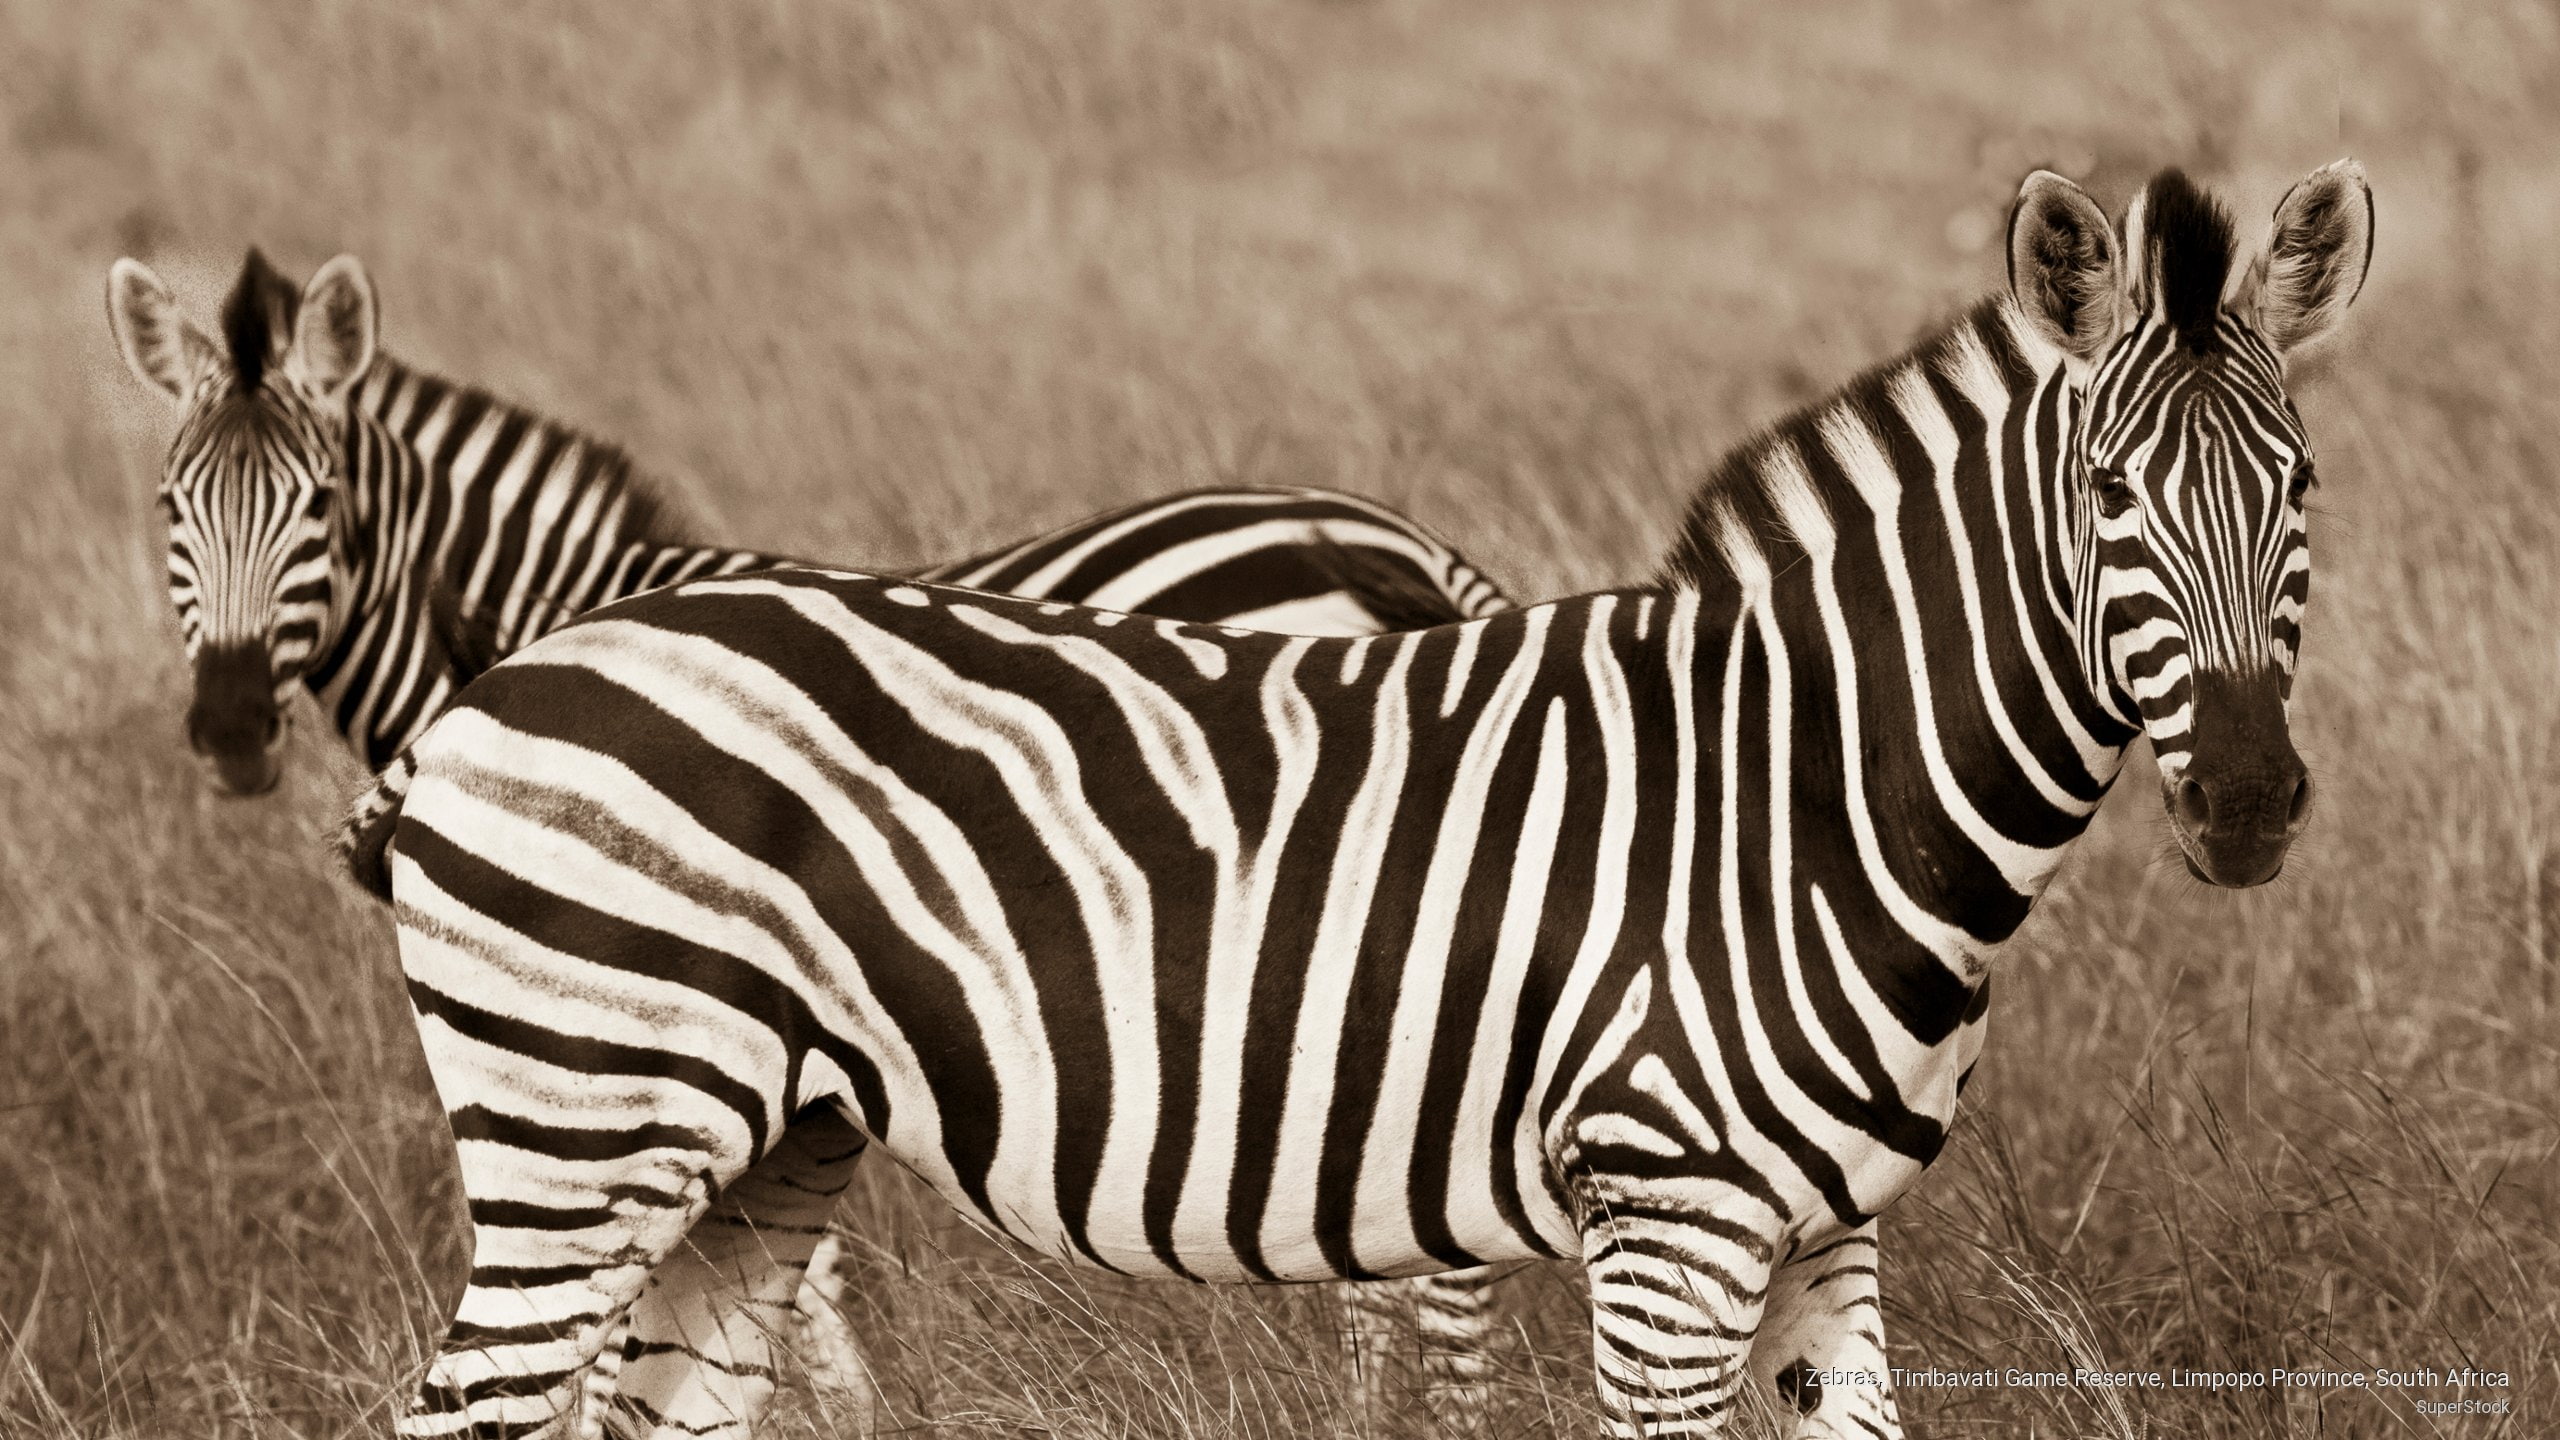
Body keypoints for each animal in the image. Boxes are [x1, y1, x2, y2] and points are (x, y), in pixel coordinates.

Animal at [352, 162, 2369, 1439]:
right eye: (2106, 492)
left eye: (2304, 485)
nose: (2252, 803)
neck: (1794, 790)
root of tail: (491, 694)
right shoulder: (1669, 1221)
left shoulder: (1827, 1231)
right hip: (579, 1125)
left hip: (761, 1146)